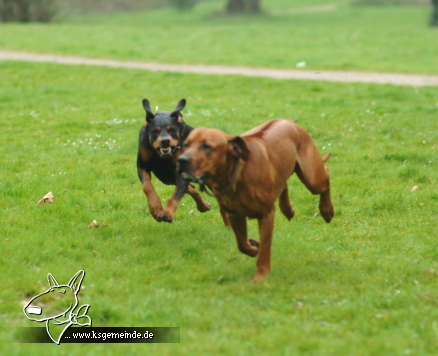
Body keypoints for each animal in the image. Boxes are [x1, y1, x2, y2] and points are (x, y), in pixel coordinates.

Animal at [176, 119, 334, 280]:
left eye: (207, 146)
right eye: (186, 145)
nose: (181, 160)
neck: (237, 173)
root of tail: (289, 121)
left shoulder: (266, 214)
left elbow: (265, 246)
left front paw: (261, 276)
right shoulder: (234, 214)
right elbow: (242, 244)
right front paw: (252, 248)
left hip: (312, 177)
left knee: (325, 176)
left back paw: (327, 210)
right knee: (283, 184)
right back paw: (287, 209)